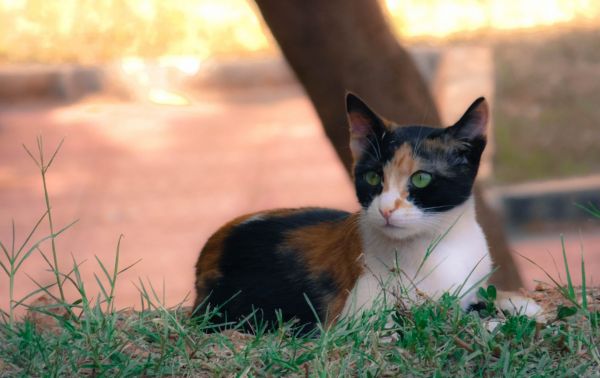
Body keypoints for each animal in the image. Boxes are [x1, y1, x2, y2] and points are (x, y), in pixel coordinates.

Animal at [192, 94, 540, 330]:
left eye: (421, 178)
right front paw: (493, 323)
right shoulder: (350, 323)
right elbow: (425, 320)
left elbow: (479, 299)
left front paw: (518, 304)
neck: (437, 246)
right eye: (373, 177)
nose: (385, 209)